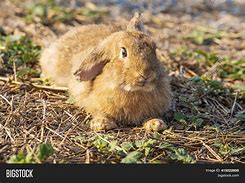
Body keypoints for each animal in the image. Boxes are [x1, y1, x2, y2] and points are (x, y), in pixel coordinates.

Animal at [39, 12, 171, 132]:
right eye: (123, 52)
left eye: (154, 49)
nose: (146, 75)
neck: (132, 90)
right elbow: (99, 112)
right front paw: (102, 124)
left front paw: (156, 124)